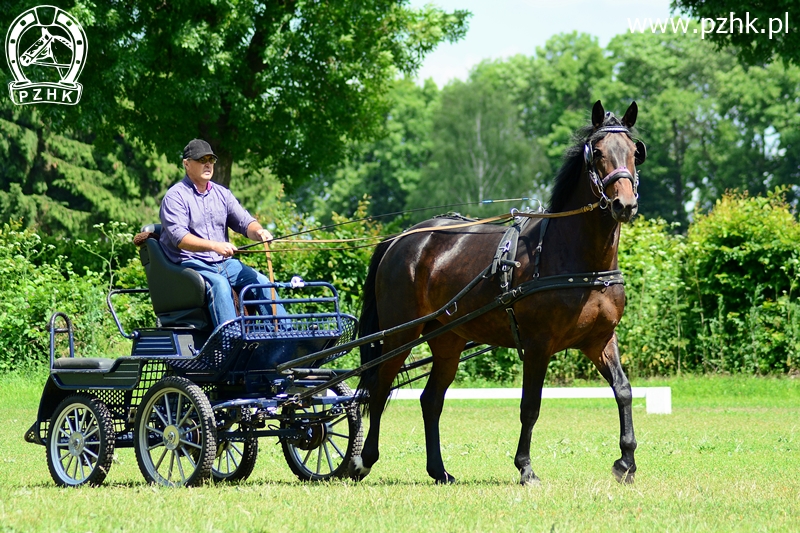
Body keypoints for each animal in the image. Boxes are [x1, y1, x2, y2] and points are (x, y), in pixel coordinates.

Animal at [350, 98, 644, 482]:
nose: (625, 205)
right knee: (381, 387)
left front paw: (626, 461)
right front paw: (526, 468)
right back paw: (364, 460)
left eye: (635, 152)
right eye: (597, 153)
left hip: (448, 339)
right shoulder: (538, 344)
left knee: (431, 400)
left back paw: (438, 470)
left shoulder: (600, 339)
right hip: (400, 333)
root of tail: (401, 238)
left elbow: (623, 391)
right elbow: (530, 405)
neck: (579, 260)